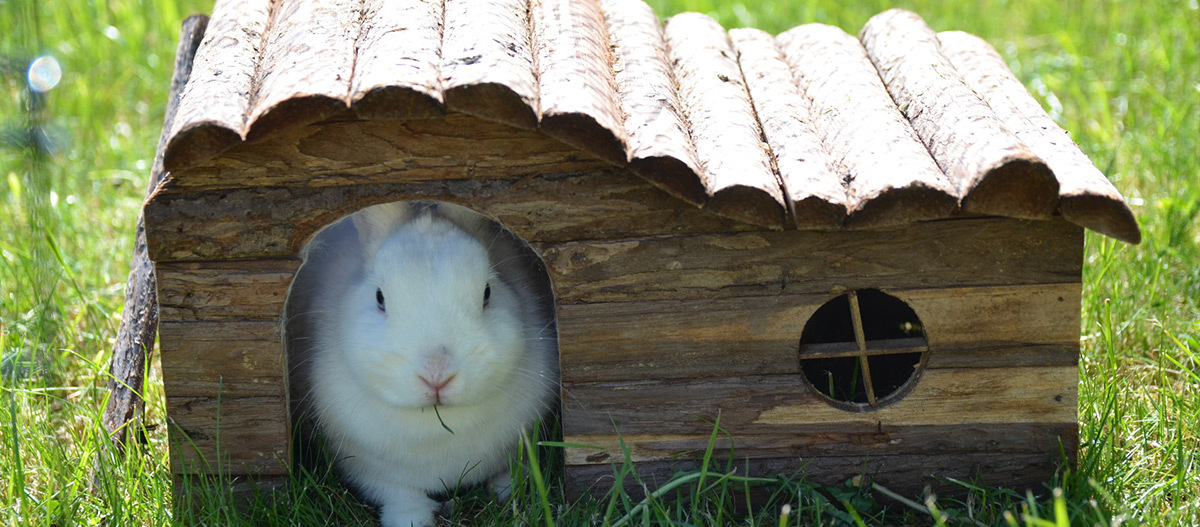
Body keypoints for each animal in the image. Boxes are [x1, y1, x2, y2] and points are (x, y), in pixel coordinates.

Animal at [285, 201, 559, 527]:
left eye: (487, 293)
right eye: (379, 297)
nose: (437, 375)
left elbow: (512, 471)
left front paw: (510, 494)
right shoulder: (369, 468)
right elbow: (398, 494)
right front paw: (412, 520)